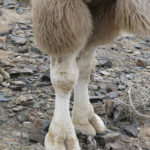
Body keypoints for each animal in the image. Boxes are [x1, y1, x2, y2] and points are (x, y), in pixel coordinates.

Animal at [15, 0, 150, 150]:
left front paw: (84, 119)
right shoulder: (58, 11)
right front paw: (61, 136)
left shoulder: (103, 9)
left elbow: (85, 67)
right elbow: (65, 79)